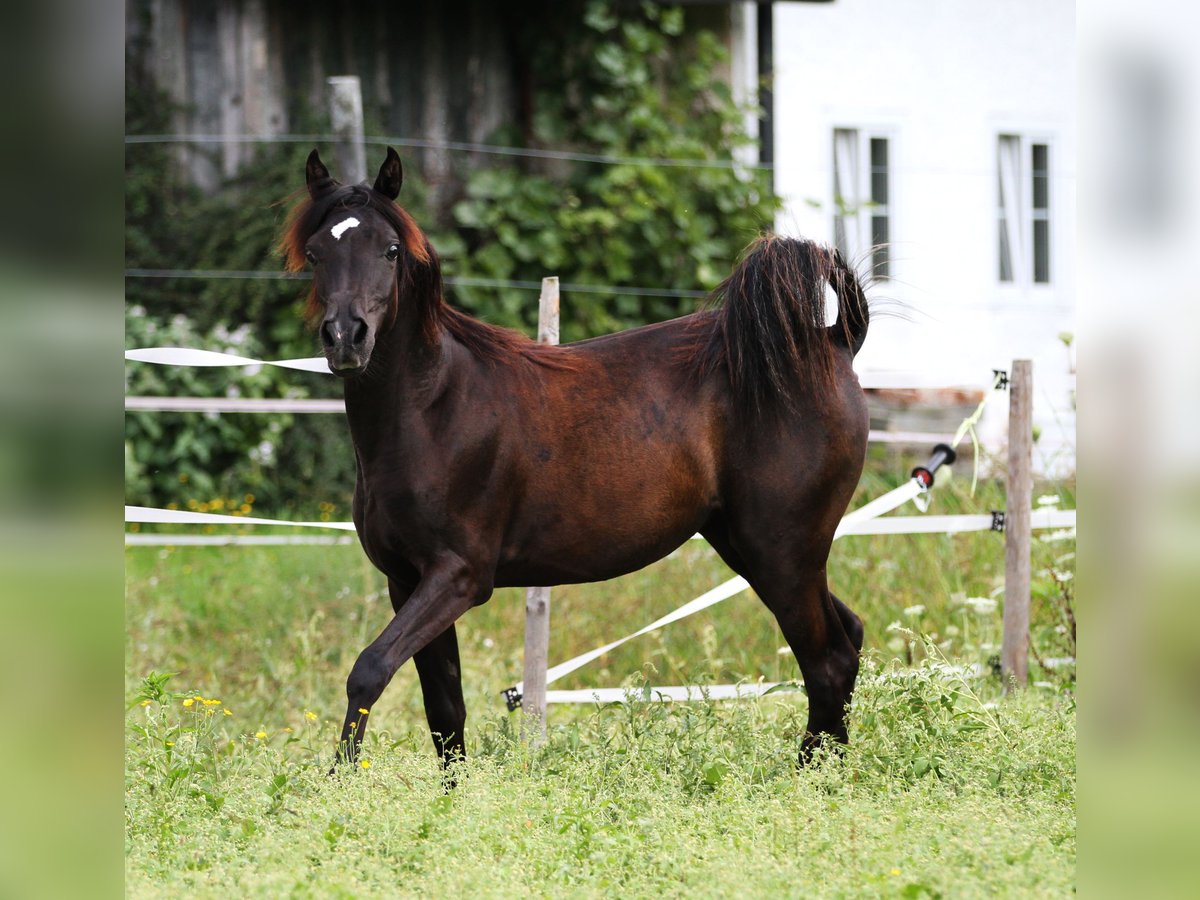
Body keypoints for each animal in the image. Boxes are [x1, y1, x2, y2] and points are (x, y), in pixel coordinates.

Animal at [285, 148, 873, 768]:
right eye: (317, 252)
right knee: (848, 637)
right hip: (751, 547)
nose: (345, 338)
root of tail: (834, 341)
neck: (433, 408)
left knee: (828, 660)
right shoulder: (407, 579)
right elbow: (444, 711)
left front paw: (339, 781)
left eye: (391, 249)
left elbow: (369, 670)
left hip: (783, 550)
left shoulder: (458, 577)